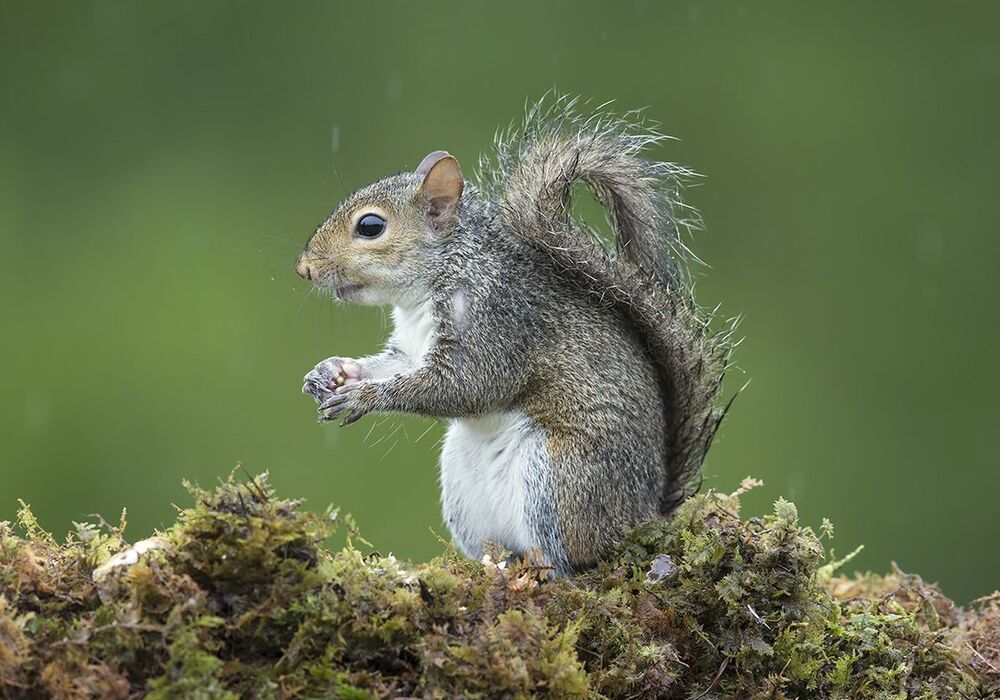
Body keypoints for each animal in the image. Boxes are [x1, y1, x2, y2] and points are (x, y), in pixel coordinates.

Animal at [295, 98, 733, 576]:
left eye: (371, 226)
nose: (304, 268)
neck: (429, 286)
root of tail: (645, 516)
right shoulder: (411, 347)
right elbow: (398, 366)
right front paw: (332, 371)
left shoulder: (498, 322)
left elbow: (466, 385)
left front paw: (364, 397)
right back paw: (497, 563)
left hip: (558, 478)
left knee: (573, 561)